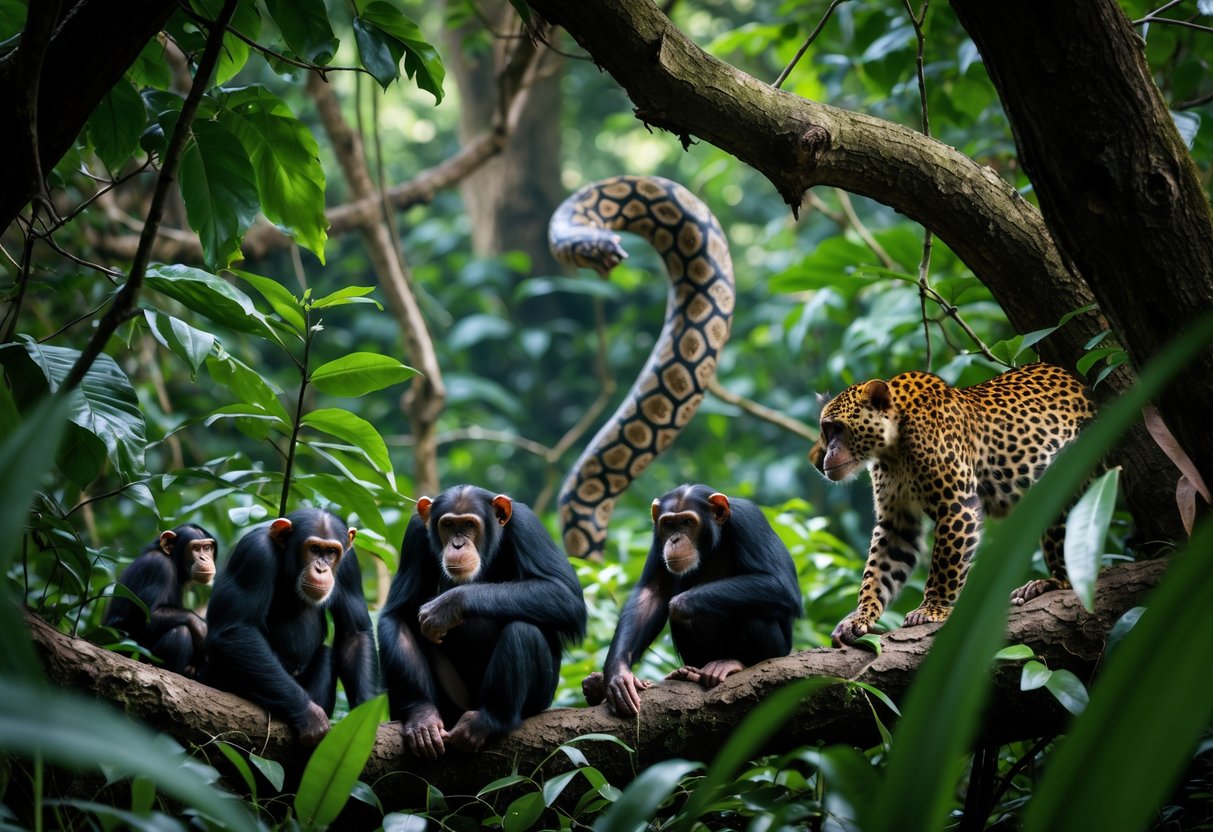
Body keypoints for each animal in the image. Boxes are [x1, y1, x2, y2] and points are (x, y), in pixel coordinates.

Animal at [813, 362, 1096, 647]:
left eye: (837, 429)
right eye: (827, 431)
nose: (821, 459)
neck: (893, 448)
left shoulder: (957, 506)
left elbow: (945, 565)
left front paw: (931, 609)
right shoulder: (897, 522)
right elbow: (878, 572)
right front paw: (859, 617)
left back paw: (1048, 584)